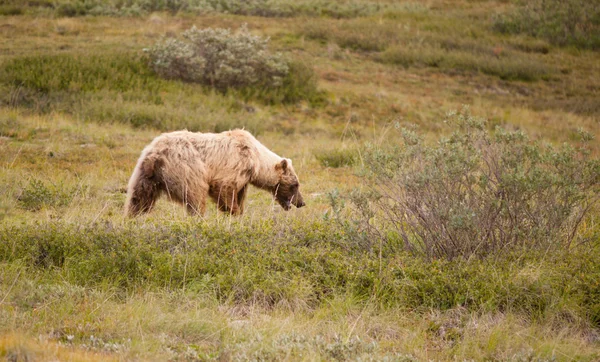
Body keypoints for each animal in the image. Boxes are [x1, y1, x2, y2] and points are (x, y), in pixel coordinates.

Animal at [125, 129, 308, 216]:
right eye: (295, 185)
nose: (301, 203)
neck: (256, 161)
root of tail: (155, 155)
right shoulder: (236, 164)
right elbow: (224, 188)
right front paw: (233, 212)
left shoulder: (244, 178)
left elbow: (239, 194)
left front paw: (239, 212)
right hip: (186, 168)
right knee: (196, 195)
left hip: (144, 174)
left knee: (139, 198)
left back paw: (133, 217)